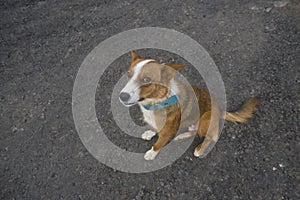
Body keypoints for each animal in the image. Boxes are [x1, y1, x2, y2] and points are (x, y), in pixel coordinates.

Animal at [118, 50, 258, 160]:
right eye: (128, 74)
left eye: (146, 80)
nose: (122, 96)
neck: (157, 101)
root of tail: (220, 109)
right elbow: (154, 128)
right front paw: (150, 132)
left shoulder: (166, 133)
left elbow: (158, 144)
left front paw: (152, 153)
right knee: (193, 132)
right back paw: (182, 135)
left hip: (205, 118)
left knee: (211, 137)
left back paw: (200, 149)